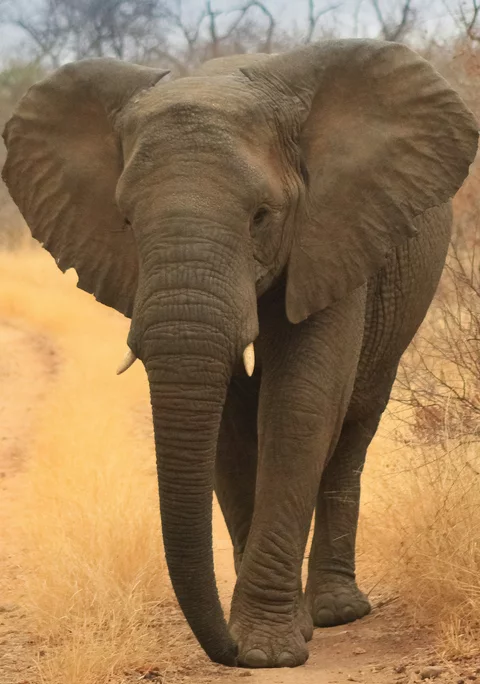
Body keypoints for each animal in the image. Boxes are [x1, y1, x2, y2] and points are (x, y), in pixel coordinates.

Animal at [2, 39, 478, 669]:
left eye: (261, 217)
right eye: (125, 221)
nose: (222, 651)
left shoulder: (330, 234)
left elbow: (301, 404)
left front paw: (266, 651)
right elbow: (227, 428)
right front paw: (266, 637)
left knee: (354, 425)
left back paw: (338, 612)